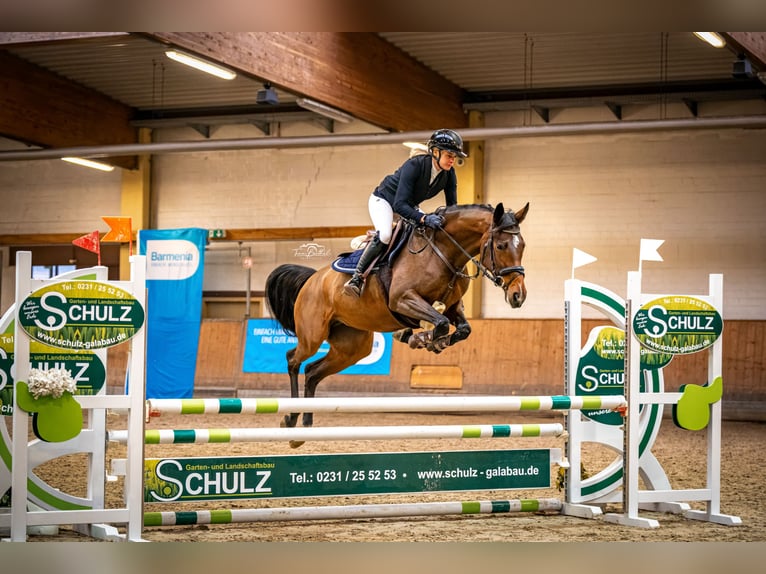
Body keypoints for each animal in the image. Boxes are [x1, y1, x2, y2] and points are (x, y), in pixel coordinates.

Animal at [265, 202, 529, 442]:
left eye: (523, 246)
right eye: (501, 245)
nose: (518, 296)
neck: (443, 253)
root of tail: (312, 279)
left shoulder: (454, 307)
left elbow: (462, 328)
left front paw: (429, 340)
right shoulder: (402, 300)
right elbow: (441, 322)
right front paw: (421, 338)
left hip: (352, 348)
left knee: (312, 372)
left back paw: (304, 427)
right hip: (312, 335)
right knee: (293, 360)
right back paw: (290, 419)